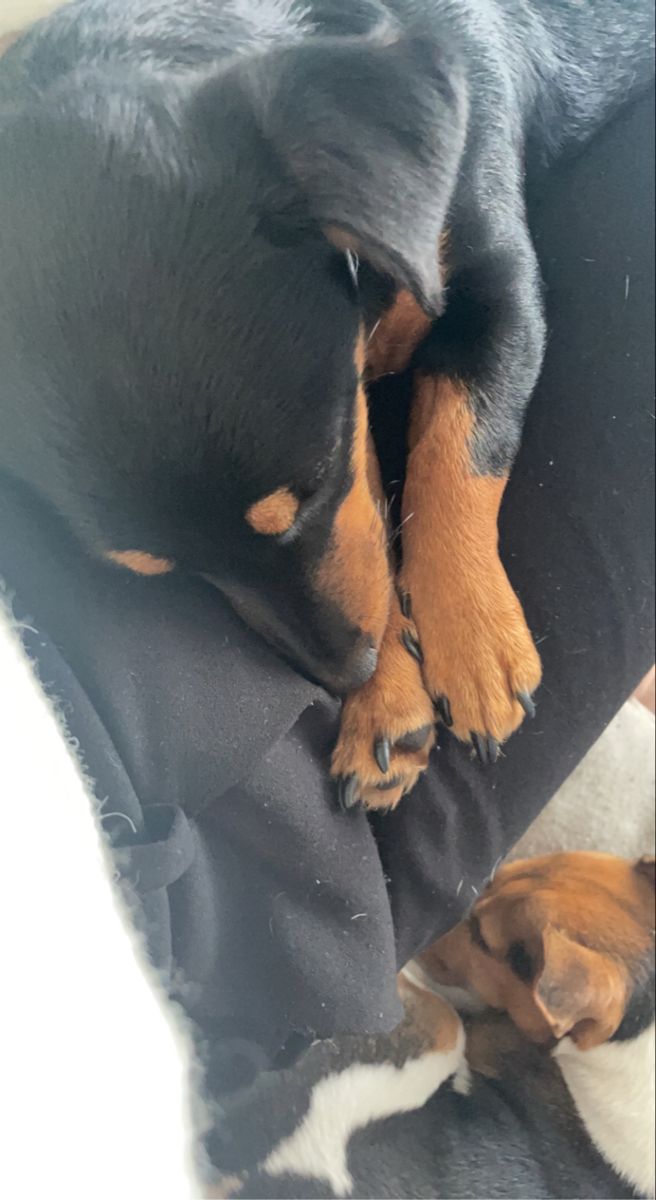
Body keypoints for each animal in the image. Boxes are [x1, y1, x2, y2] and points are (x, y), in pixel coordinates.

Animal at [0, 2, 652, 806]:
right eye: (164, 573)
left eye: (311, 490)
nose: (347, 674)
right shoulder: (350, 386)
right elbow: (372, 522)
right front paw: (391, 701)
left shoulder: (497, 289)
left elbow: (459, 454)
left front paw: (471, 642)